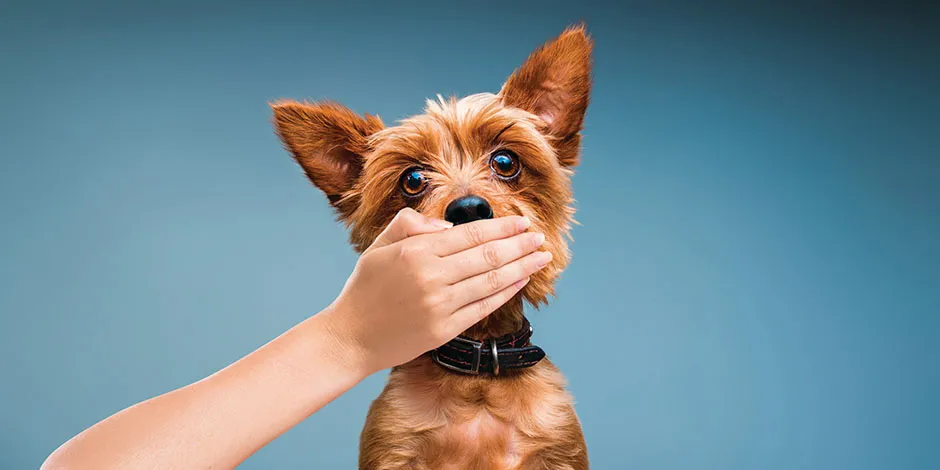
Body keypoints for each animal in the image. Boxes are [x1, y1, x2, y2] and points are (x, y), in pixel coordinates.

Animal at [274, 25, 596, 470]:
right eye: (412, 179)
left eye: (505, 162)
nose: (468, 207)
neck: (478, 375)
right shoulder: (392, 446)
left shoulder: (560, 448)